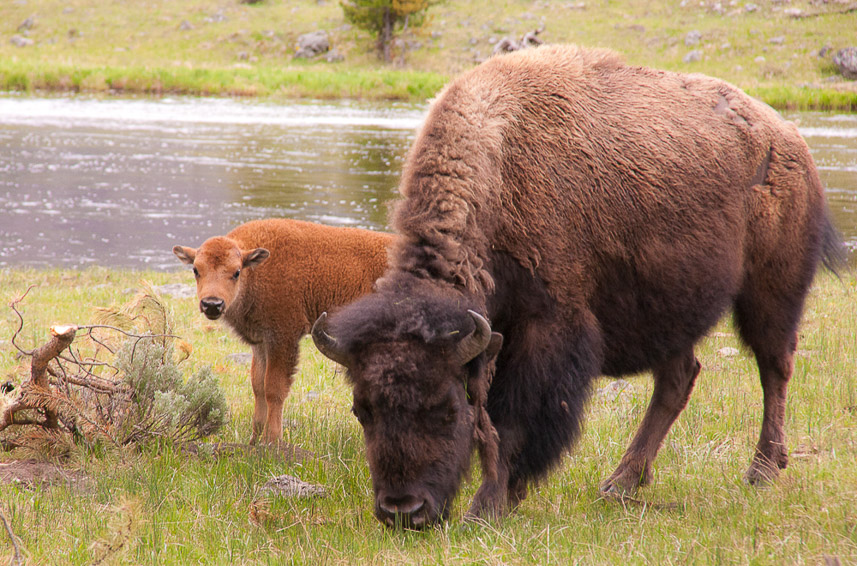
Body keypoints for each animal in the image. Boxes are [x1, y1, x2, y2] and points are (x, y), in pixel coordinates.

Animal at [173, 220, 392, 446]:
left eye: (236, 272)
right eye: (196, 270)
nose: (212, 304)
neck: (257, 271)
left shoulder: (283, 338)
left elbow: (274, 389)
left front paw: (273, 441)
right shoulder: (261, 343)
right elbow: (258, 386)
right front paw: (254, 440)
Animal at [310, 46, 844, 532]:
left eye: (445, 409)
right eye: (362, 410)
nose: (403, 511)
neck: (501, 171)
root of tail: (790, 139)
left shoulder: (547, 329)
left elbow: (512, 421)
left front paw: (487, 509)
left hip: (770, 293)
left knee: (774, 368)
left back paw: (760, 471)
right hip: (671, 310)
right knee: (678, 379)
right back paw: (620, 483)